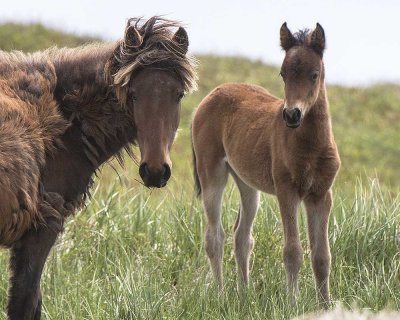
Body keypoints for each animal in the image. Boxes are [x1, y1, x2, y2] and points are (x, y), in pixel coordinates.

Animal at [0, 16, 197, 318]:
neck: (65, 123)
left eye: (179, 95)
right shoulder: (41, 227)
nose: (155, 170)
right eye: (133, 94)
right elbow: (26, 303)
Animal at [191, 23, 340, 304]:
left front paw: (326, 305)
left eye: (314, 74)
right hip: (211, 173)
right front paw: (292, 304)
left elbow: (322, 257)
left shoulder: (321, 194)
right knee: (214, 237)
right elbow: (293, 252)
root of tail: (208, 96)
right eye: (283, 74)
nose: (291, 115)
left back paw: (244, 297)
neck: (310, 147)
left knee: (242, 237)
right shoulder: (287, 190)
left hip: (247, 183)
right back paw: (221, 296)